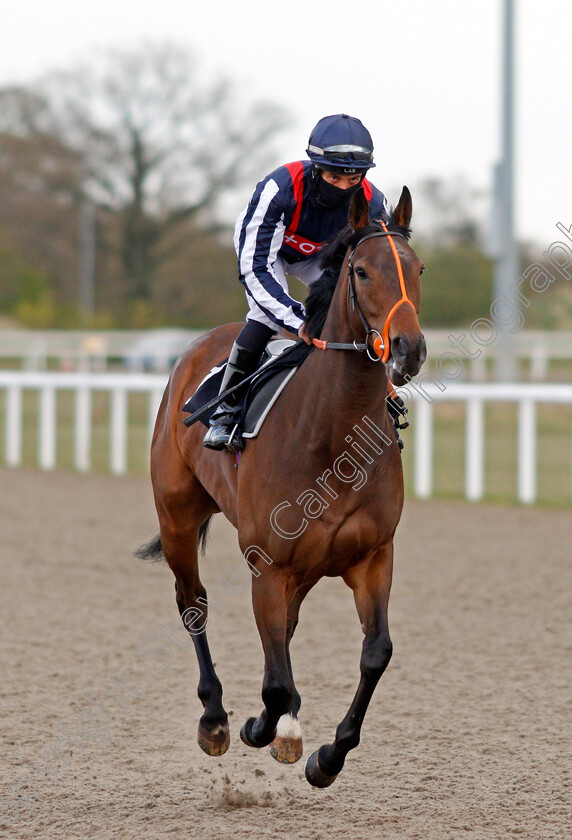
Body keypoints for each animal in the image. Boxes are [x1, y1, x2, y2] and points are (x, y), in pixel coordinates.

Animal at [139, 189, 424, 788]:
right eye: (361, 271)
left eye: (418, 269)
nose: (409, 349)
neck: (331, 435)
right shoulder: (267, 563)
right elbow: (275, 682)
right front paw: (270, 729)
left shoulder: (372, 557)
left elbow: (375, 653)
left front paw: (328, 756)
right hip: (177, 515)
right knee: (192, 603)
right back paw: (216, 718)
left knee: (283, 632)